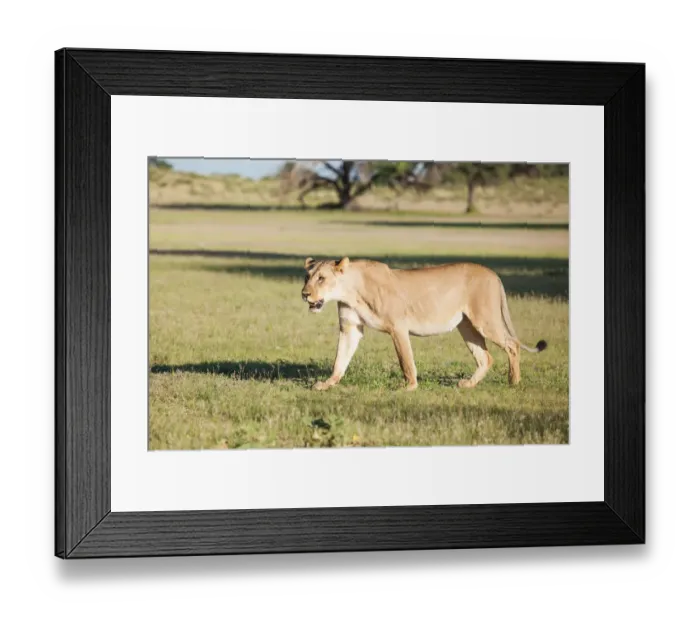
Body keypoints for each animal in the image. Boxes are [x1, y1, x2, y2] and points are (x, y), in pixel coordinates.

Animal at [301, 256, 547, 391]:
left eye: (321, 278)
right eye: (307, 277)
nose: (304, 294)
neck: (350, 291)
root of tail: (493, 274)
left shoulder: (398, 327)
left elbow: (406, 361)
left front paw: (409, 387)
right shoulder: (350, 328)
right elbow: (340, 359)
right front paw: (328, 383)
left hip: (485, 319)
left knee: (512, 345)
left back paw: (513, 381)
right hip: (466, 326)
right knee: (485, 357)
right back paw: (468, 384)